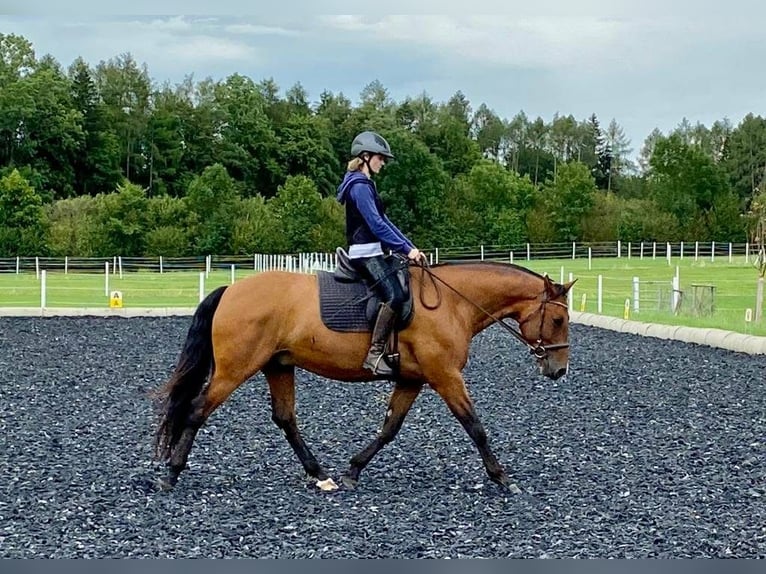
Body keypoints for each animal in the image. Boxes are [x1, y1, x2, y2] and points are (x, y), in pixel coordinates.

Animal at [153, 260, 575, 492]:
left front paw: (354, 470)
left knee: (285, 418)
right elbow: (475, 426)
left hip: (279, 365)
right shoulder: (445, 376)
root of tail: (230, 291)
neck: (453, 303)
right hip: (236, 369)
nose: (559, 370)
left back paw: (320, 474)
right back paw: (172, 474)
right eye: (558, 320)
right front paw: (502, 477)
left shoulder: (413, 379)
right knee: (197, 410)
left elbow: (389, 428)